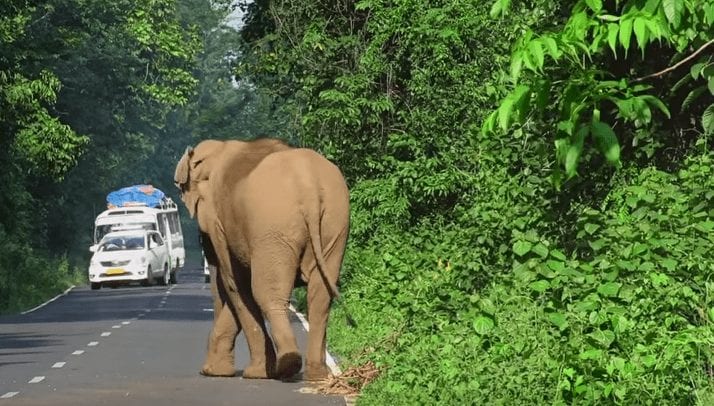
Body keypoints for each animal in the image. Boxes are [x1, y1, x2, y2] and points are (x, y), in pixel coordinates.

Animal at [174, 138, 350, 381]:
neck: (220, 148)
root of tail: (309, 186)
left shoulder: (219, 220)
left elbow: (234, 284)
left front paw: (252, 374)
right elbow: (235, 287)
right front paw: (215, 371)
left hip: (272, 227)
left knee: (267, 292)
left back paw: (287, 365)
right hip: (335, 221)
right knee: (320, 295)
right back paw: (317, 374)